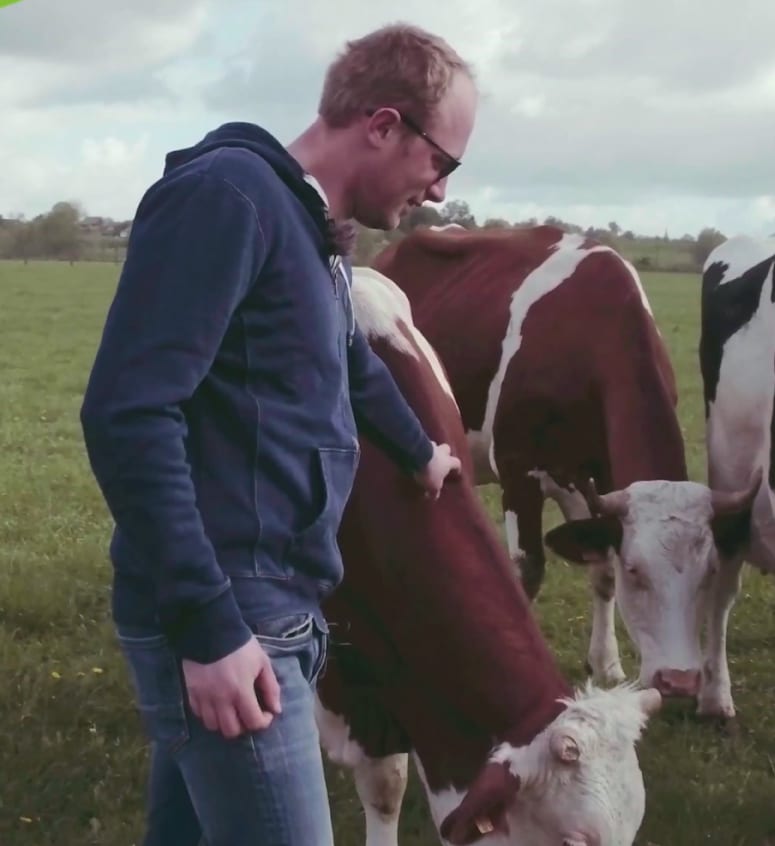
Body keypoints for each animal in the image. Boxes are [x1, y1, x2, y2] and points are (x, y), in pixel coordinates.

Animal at [372, 225, 760, 716]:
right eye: (637, 570)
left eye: (709, 572)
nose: (679, 681)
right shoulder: (520, 473)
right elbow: (528, 573)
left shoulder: (595, 482)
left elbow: (601, 572)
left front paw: (606, 665)